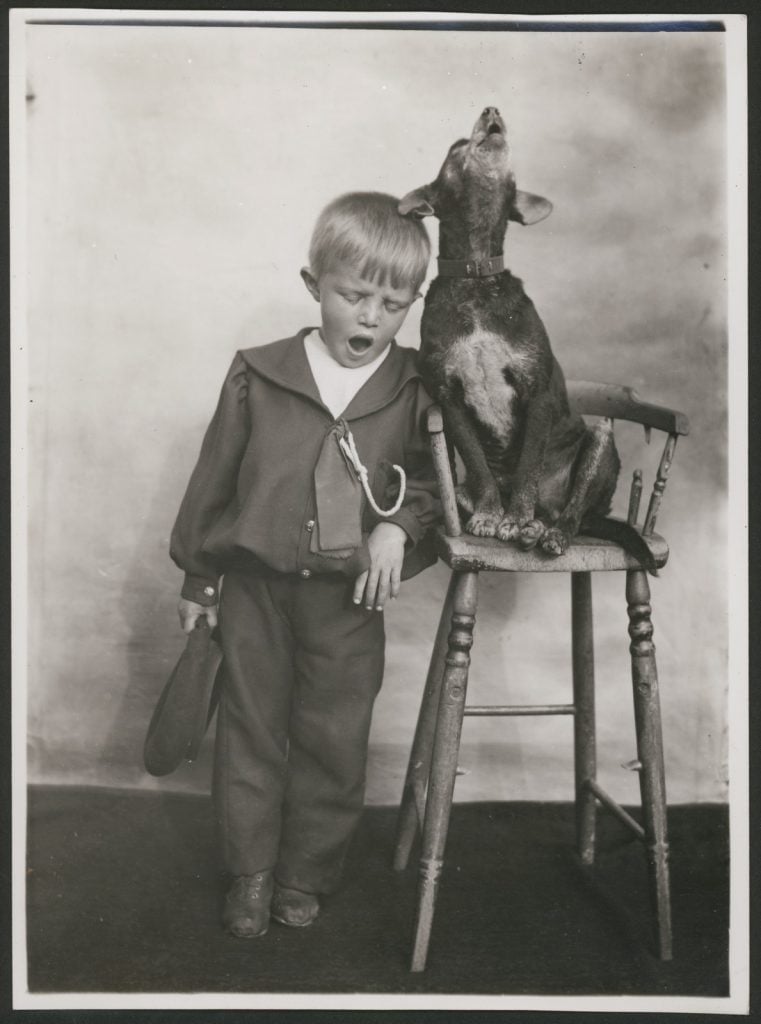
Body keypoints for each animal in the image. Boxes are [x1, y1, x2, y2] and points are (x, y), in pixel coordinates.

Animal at [401, 108, 659, 573]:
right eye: (455, 146)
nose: (492, 111)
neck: (476, 276)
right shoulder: (449, 398)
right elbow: (478, 464)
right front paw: (492, 514)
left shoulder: (535, 391)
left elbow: (527, 468)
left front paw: (515, 518)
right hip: (461, 488)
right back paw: (529, 523)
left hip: (599, 442)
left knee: (574, 512)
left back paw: (544, 529)